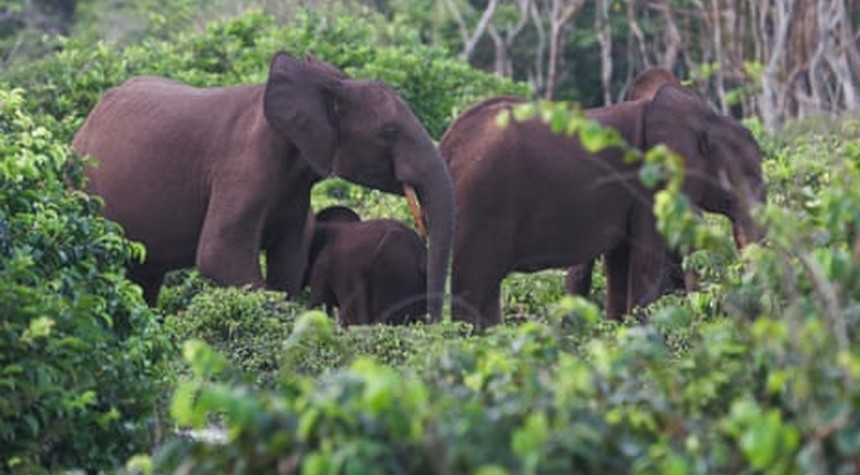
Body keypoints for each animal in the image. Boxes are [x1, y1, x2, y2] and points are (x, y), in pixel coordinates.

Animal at [72, 51, 454, 318]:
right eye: (389, 132)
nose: (435, 326)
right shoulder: (241, 165)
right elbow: (219, 254)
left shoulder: (296, 184)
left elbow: (289, 260)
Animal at [440, 83, 765, 327]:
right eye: (744, 183)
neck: (704, 117)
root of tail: (448, 144)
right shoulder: (649, 185)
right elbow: (645, 262)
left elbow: (620, 262)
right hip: (481, 203)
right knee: (473, 287)